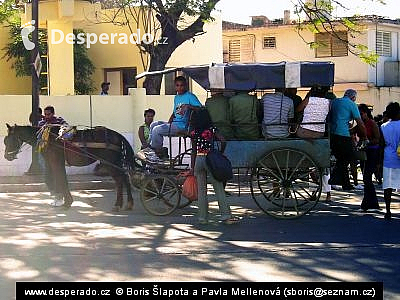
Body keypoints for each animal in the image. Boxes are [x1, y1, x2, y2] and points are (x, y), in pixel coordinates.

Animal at [3, 123, 137, 210]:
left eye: (8, 140)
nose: (6, 156)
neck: (48, 138)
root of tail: (118, 135)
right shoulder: (52, 163)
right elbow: (55, 179)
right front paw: (59, 199)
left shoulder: (56, 162)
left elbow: (61, 179)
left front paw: (67, 202)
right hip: (115, 163)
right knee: (125, 178)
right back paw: (128, 203)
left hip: (110, 163)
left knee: (119, 180)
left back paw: (119, 204)